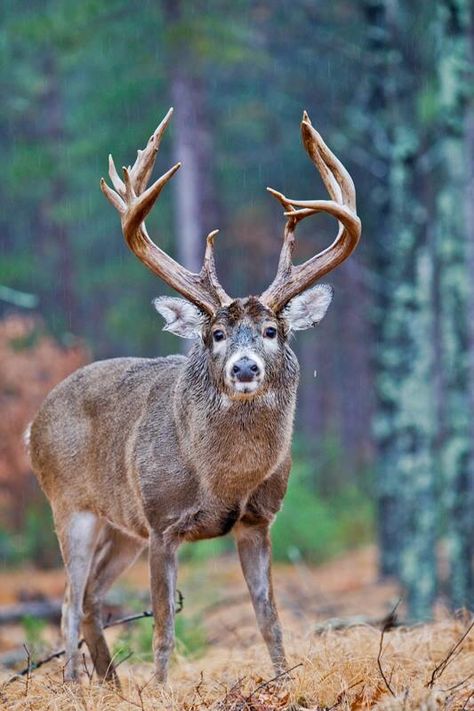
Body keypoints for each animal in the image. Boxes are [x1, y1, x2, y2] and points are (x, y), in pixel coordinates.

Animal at [27, 108, 362, 688]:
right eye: (216, 334)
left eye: (272, 330)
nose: (245, 367)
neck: (222, 478)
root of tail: (33, 425)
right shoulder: (162, 523)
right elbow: (164, 626)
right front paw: (162, 688)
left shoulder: (258, 521)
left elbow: (269, 618)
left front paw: (284, 682)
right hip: (70, 504)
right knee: (68, 600)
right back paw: (73, 683)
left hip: (123, 526)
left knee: (90, 599)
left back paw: (112, 685)